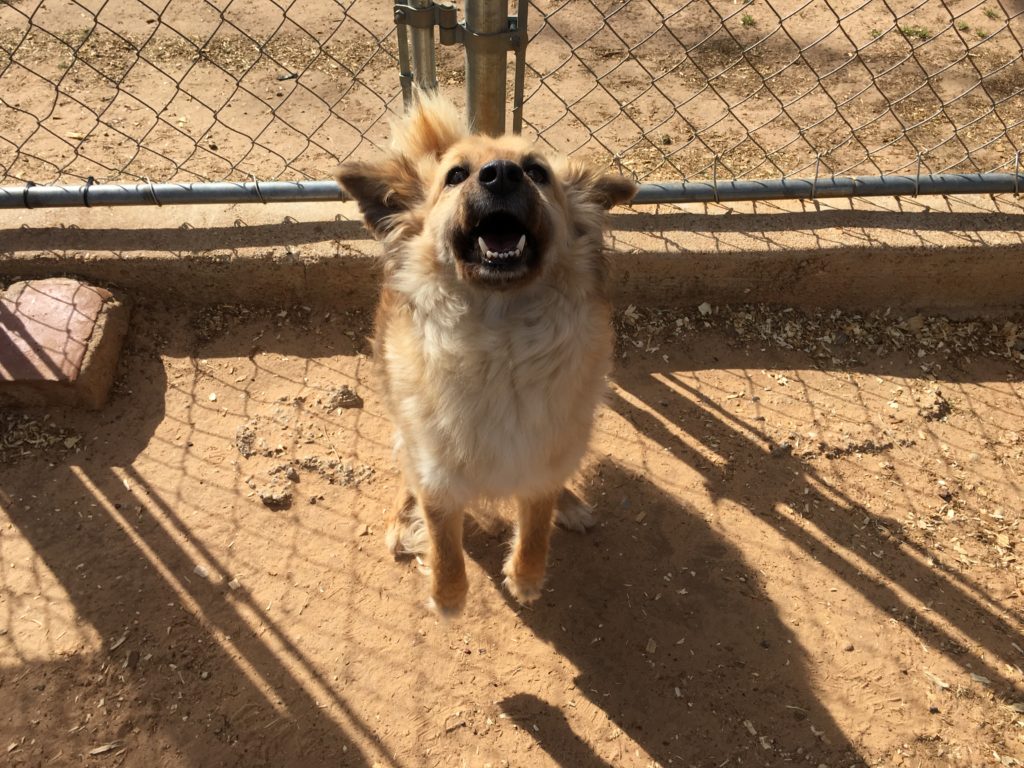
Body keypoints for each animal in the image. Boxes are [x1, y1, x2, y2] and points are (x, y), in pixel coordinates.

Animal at [335, 96, 630, 618]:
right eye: (455, 176)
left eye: (536, 172)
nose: (501, 175)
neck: (499, 340)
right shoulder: (437, 473)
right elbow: (443, 541)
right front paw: (448, 598)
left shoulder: (542, 456)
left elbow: (535, 525)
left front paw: (526, 578)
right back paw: (401, 521)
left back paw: (570, 505)